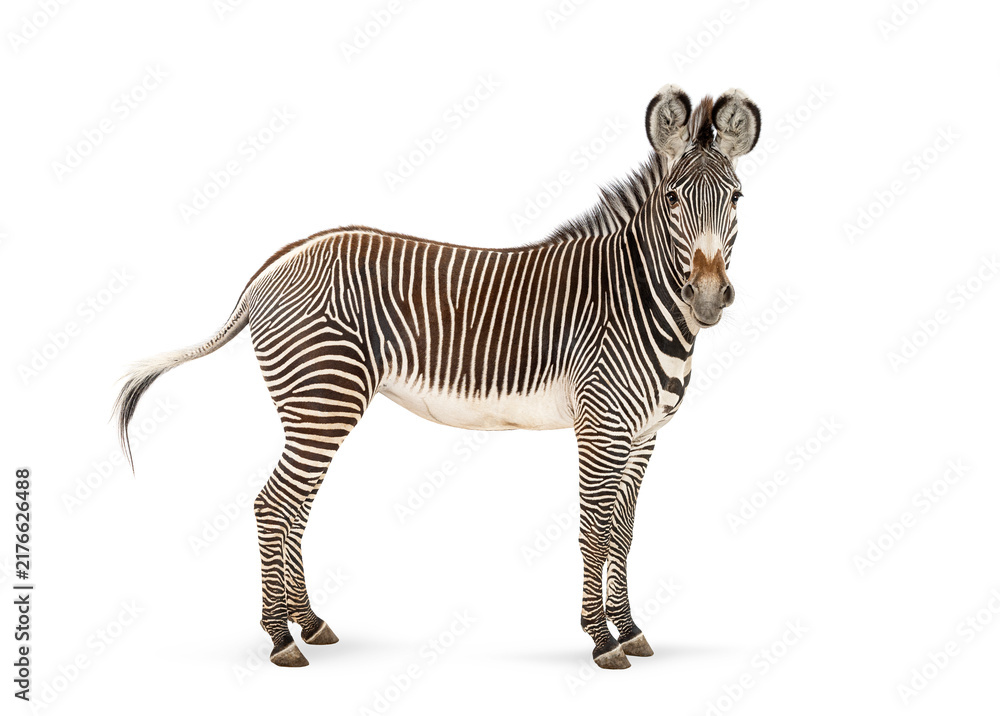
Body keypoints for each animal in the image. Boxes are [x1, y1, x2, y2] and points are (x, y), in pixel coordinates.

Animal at [115, 85, 760, 670]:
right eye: (674, 198)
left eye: (736, 197)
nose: (708, 297)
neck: (641, 299)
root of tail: (276, 264)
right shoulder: (602, 427)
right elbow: (595, 529)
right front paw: (602, 640)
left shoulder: (645, 434)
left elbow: (622, 532)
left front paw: (629, 630)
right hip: (324, 398)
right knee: (274, 504)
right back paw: (280, 639)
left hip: (316, 407)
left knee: (294, 506)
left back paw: (310, 623)